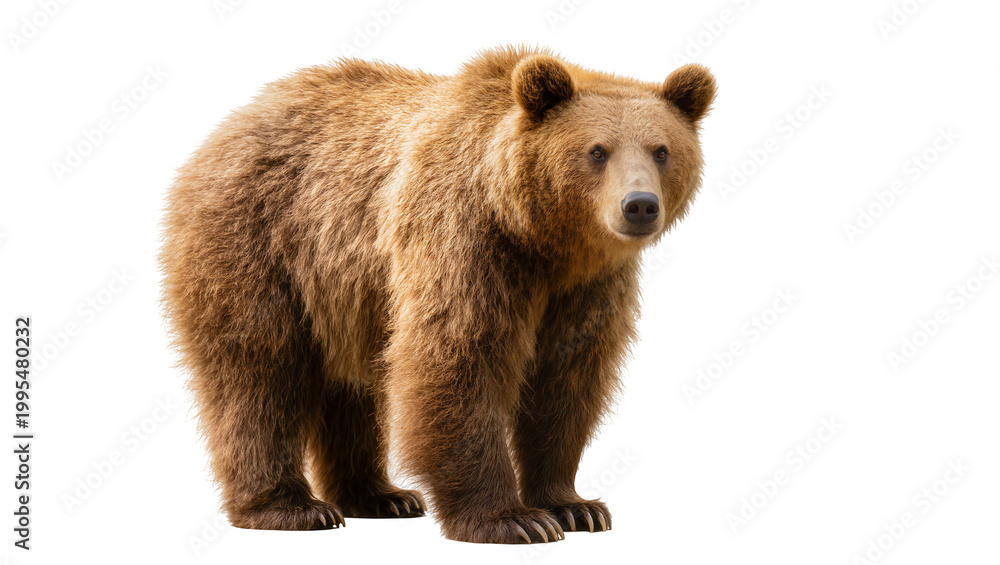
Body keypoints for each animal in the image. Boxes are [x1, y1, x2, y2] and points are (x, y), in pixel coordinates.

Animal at [160, 45, 715, 544]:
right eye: (597, 151)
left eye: (662, 150)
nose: (639, 205)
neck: (541, 239)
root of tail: (227, 125)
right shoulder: (466, 238)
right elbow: (458, 358)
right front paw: (512, 520)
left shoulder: (587, 286)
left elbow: (568, 379)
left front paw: (575, 506)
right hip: (259, 243)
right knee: (259, 372)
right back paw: (292, 507)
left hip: (346, 295)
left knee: (352, 388)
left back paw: (380, 495)